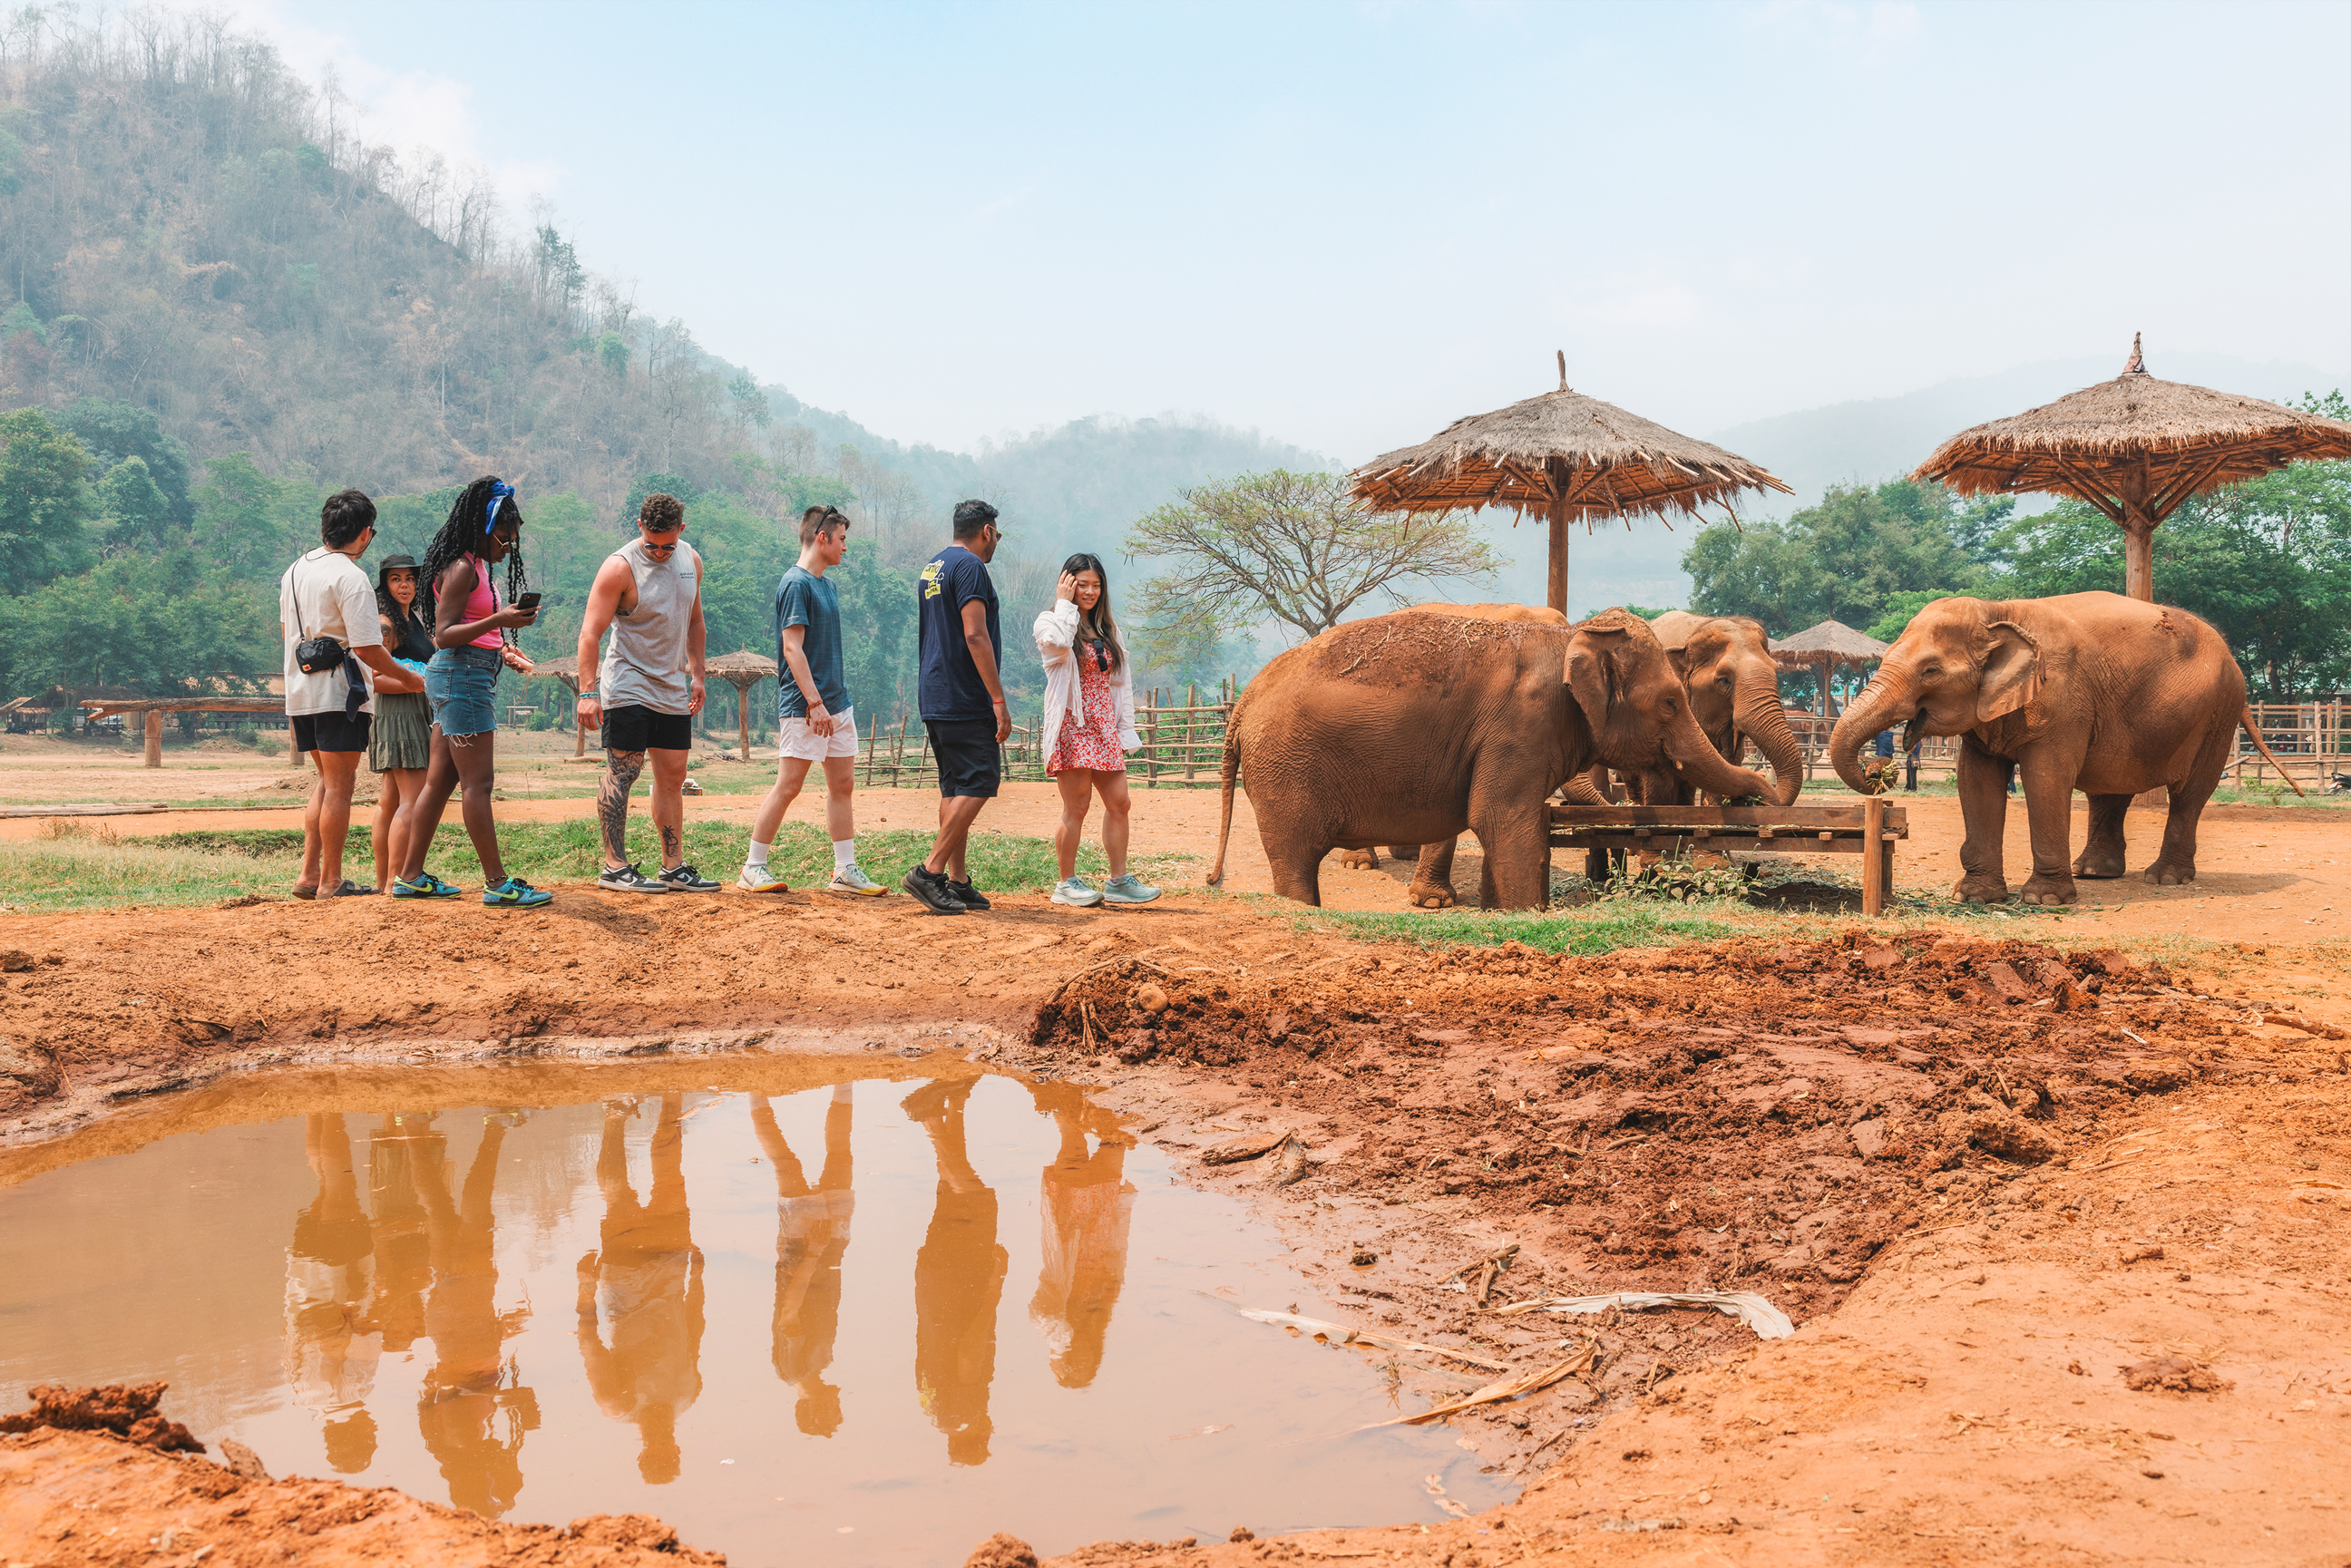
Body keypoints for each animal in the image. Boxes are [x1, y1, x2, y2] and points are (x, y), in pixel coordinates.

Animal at [1208, 607, 1776, 910]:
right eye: (1671, 703)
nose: (1764, 801)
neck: (1572, 636)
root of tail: (1241, 704)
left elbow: (1508, 822)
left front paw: (1499, 911)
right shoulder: (1520, 725)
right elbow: (1501, 818)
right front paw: (1528, 913)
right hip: (1283, 769)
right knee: (1294, 857)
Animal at [1828, 591, 2298, 906]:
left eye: (1930, 671)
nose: (1877, 772)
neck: (1998, 609)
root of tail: (2233, 659)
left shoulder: (2063, 698)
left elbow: (2046, 779)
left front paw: (2044, 901)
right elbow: (1976, 781)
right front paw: (1975, 898)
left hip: (2218, 713)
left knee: (2190, 793)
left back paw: (2166, 879)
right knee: (2111, 787)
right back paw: (2093, 874)